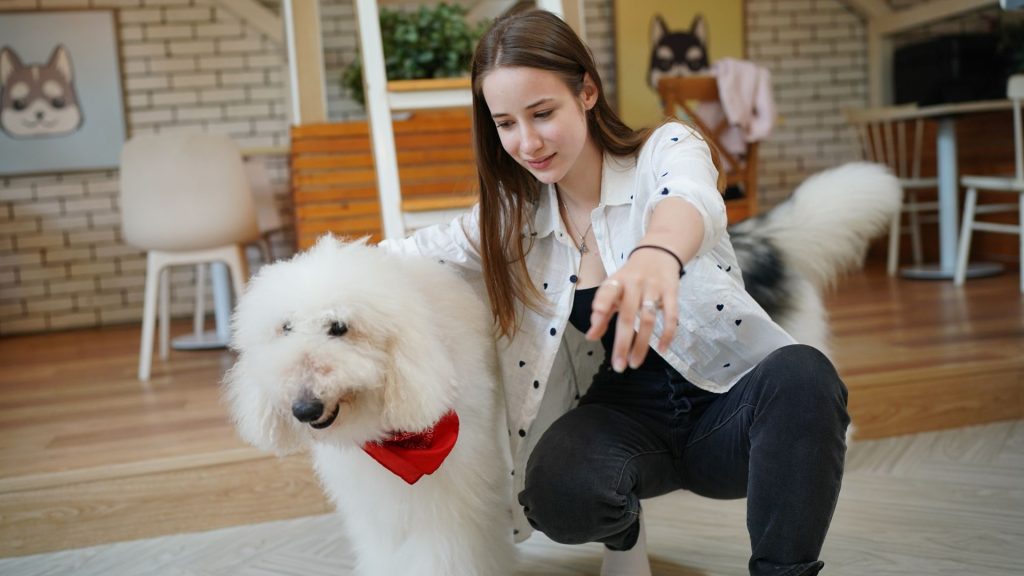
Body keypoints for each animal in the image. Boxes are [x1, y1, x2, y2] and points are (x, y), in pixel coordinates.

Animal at [223, 234, 512, 573]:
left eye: (338, 327)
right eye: (286, 328)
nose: (305, 409)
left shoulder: (449, 500)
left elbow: (442, 553)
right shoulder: (372, 500)